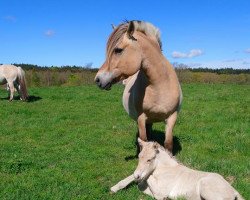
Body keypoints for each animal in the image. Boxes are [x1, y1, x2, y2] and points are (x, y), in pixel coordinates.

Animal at [94, 20, 183, 152]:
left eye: (118, 50)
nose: (98, 79)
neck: (158, 87)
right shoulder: (141, 118)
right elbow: (143, 141)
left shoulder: (172, 118)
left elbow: (168, 144)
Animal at [111, 139, 244, 200]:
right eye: (139, 157)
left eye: (150, 159)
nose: (137, 175)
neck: (166, 169)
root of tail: (233, 190)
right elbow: (136, 179)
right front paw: (114, 188)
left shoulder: (161, 191)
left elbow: (146, 181)